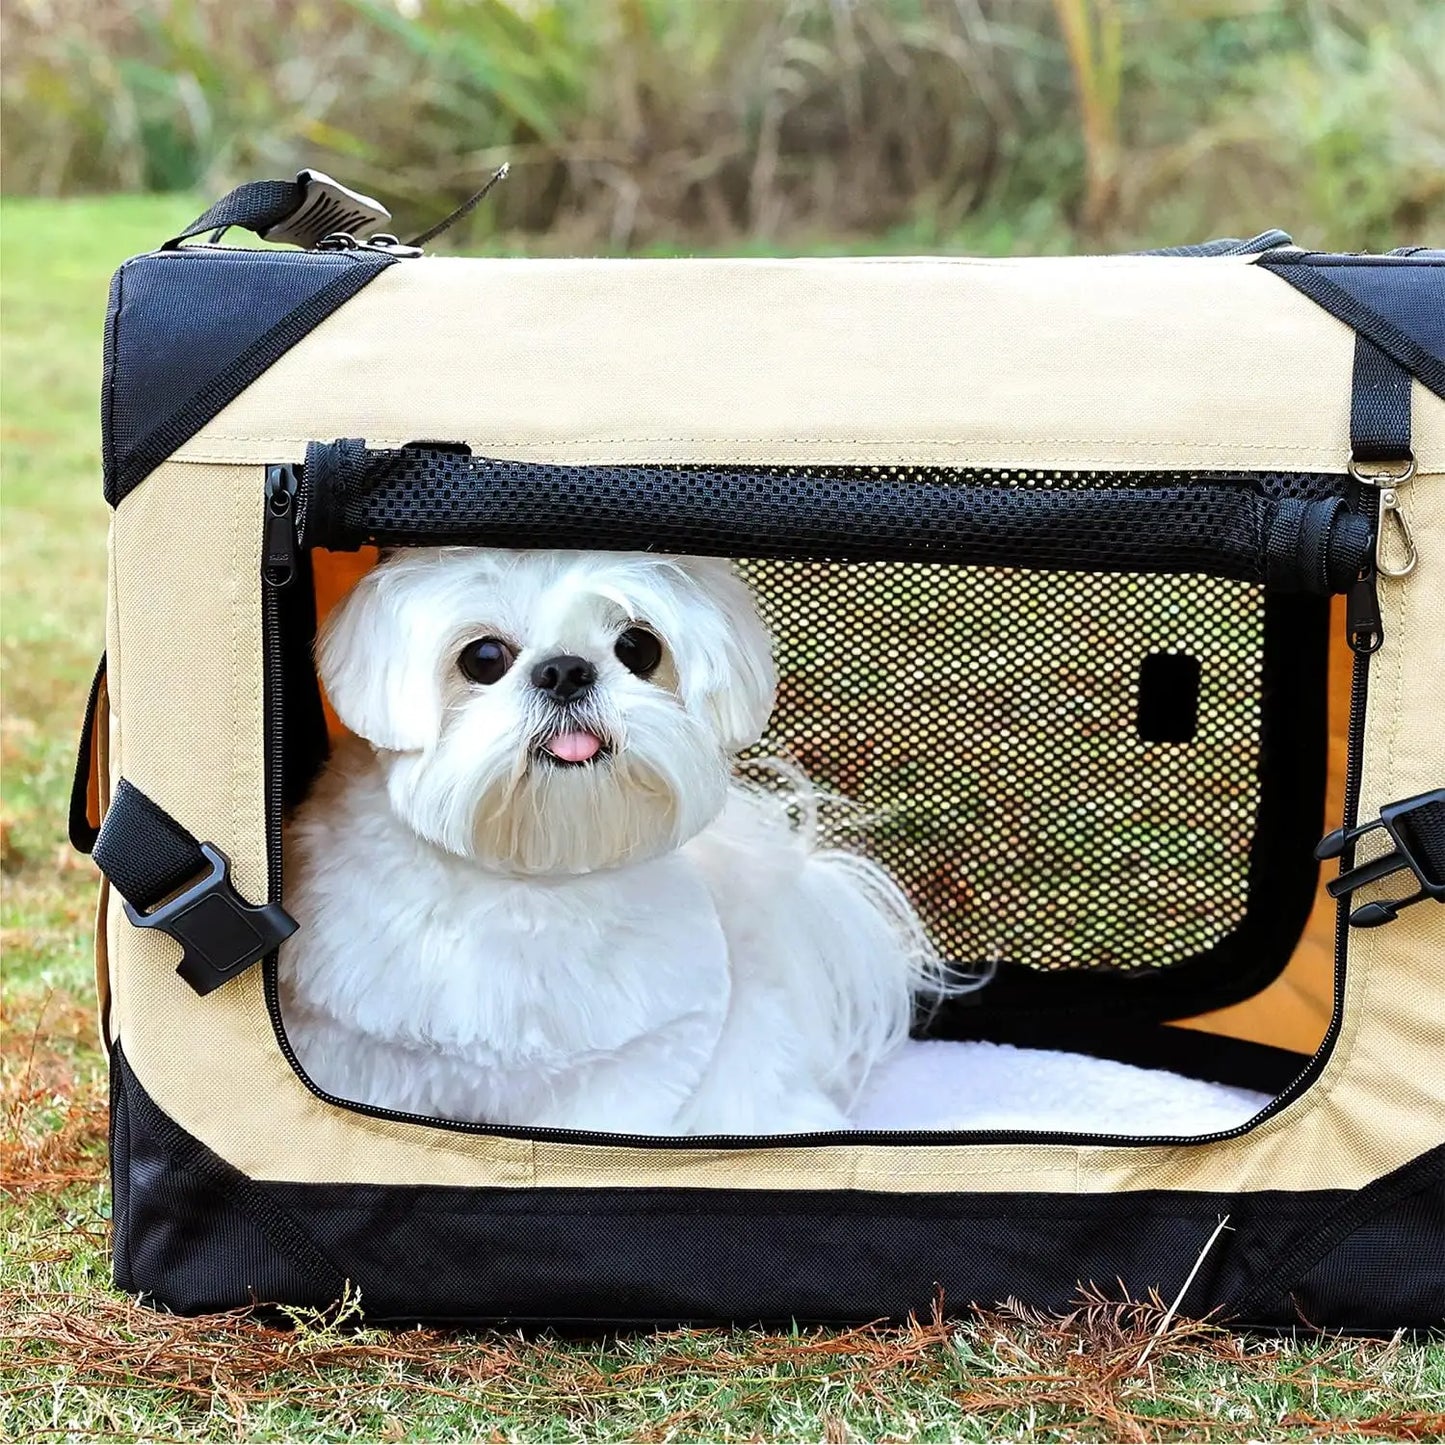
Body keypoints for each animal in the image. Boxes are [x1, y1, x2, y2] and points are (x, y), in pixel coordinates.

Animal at [280, 546, 953, 1132]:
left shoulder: (635, 1060)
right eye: (484, 657)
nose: (565, 670)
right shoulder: (356, 1052)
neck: (533, 872)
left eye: (638, 647)